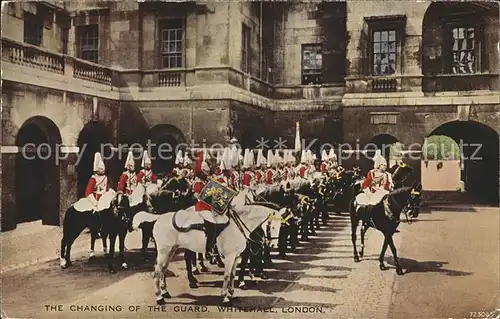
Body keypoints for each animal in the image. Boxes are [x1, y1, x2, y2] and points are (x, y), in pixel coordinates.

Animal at [133, 205, 288, 304]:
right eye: (271, 226)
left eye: (281, 226)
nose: (272, 245)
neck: (237, 226)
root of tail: (159, 217)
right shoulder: (230, 257)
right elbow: (226, 276)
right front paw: (225, 298)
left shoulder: (236, 257)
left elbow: (232, 276)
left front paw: (232, 294)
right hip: (164, 251)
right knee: (157, 272)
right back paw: (159, 298)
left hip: (171, 250)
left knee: (163, 270)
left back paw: (165, 292)